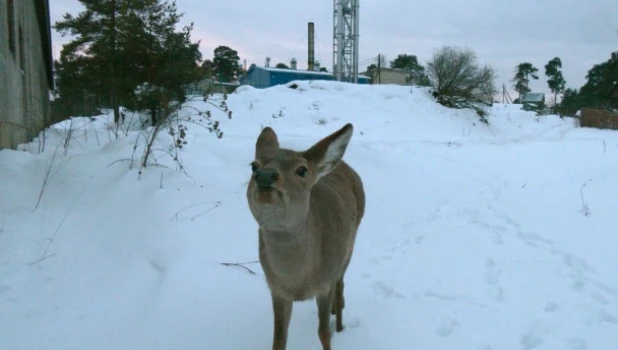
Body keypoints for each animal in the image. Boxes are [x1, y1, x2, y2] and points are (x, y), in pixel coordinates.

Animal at [244, 123, 364, 350]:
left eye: (301, 169)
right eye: (253, 165)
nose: (264, 175)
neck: (297, 281)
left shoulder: (325, 284)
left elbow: (324, 332)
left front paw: (333, 332)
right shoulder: (276, 289)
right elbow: (278, 339)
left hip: (350, 245)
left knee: (341, 282)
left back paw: (340, 321)